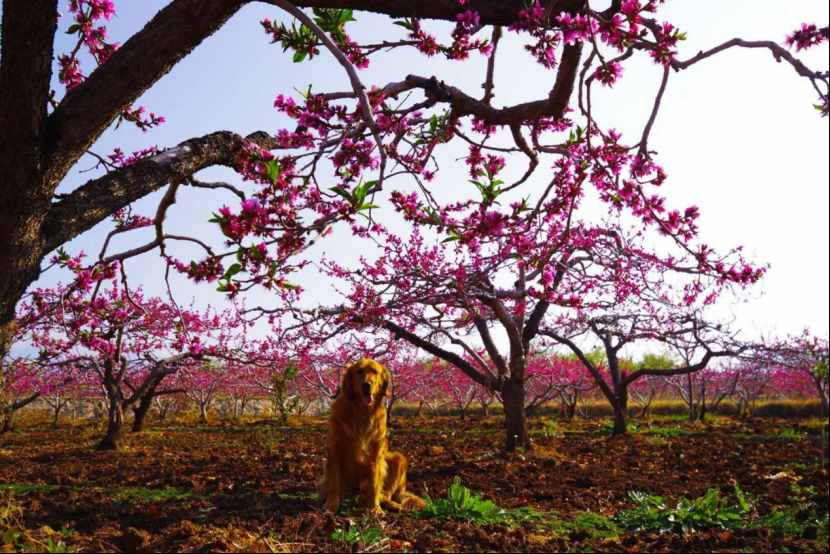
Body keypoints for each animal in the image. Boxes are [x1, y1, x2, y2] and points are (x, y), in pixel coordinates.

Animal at [320, 358, 428, 512]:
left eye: (374, 372)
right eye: (359, 371)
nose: (367, 384)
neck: (361, 413)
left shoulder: (375, 454)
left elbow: (374, 483)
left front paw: (374, 509)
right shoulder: (335, 450)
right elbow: (334, 482)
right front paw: (331, 506)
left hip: (398, 458)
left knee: (385, 494)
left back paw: (393, 505)